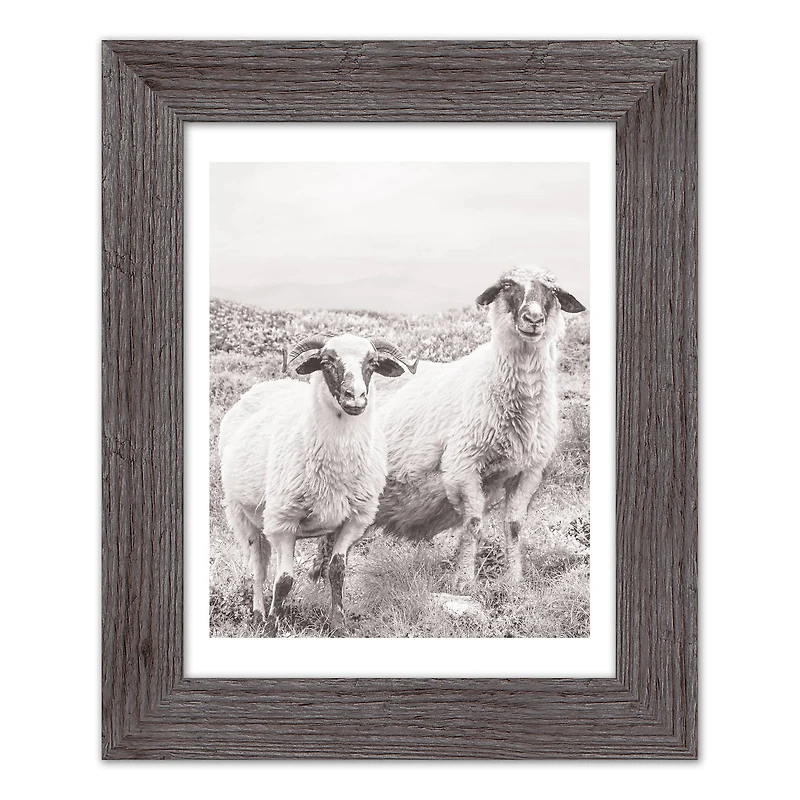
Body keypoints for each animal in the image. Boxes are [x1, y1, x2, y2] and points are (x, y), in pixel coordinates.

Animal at [218, 333, 416, 636]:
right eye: (326, 362)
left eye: (372, 363)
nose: (355, 397)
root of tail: (267, 384)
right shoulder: (282, 522)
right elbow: (284, 581)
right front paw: (272, 627)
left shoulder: (354, 520)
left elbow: (337, 571)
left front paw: (338, 624)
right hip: (241, 515)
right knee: (258, 569)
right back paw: (258, 614)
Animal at [371, 266, 585, 588]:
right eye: (507, 286)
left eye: (553, 290)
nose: (534, 319)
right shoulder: (463, 465)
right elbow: (473, 524)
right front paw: (464, 582)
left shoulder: (528, 471)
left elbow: (514, 526)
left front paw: (514, 582)